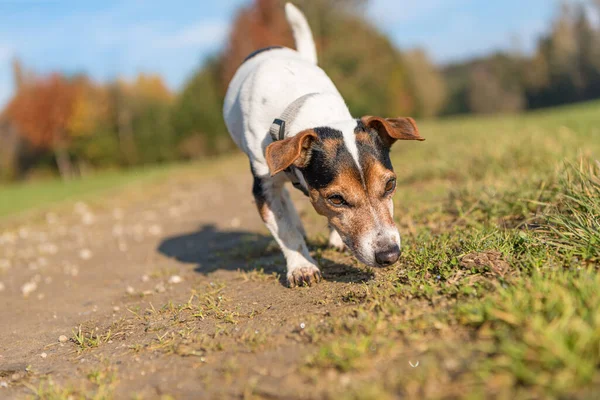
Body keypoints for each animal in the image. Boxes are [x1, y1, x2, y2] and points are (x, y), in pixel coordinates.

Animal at [223, 1, 424, 286]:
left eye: (390, 184)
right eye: (336, 199)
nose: (389, 255)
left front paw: (332, 238)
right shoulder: (263, 185)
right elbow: (286, 230)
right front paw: (301, 266)